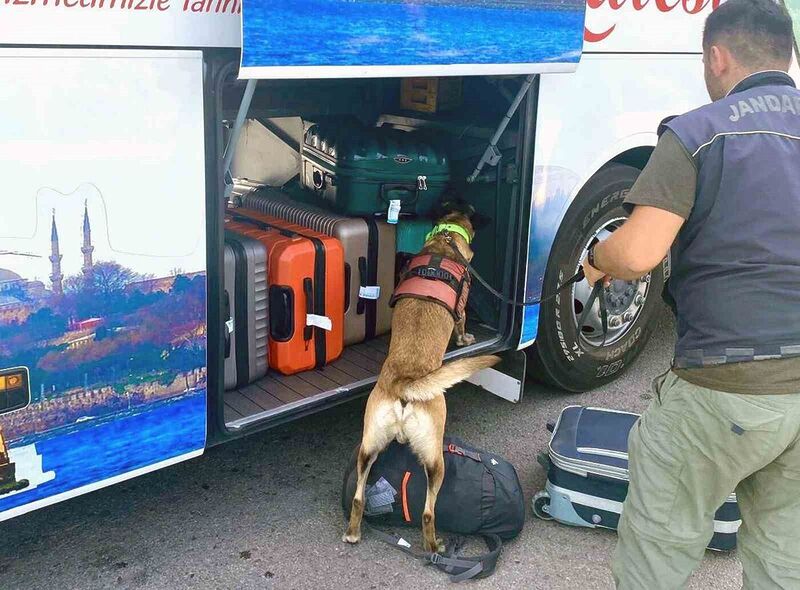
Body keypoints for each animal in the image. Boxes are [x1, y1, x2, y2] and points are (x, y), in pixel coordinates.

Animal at [344, 212, 500, 556]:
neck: (444, 242)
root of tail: (406, 385)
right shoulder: (461, 310)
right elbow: (461, 324)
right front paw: (466, 339)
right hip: (435, 459)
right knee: (428, 512)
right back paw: (434, 546)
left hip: (368, 447)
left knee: (359, 497)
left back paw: (352, 533)